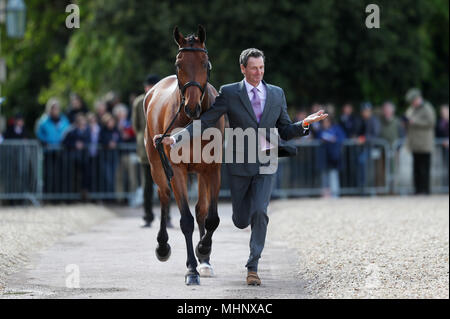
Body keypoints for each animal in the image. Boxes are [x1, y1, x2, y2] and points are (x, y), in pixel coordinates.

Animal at [143, 25, 224, 284]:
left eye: (205, 63)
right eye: (178, 64)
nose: (191, 106)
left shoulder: (212, 168)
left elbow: (210, 217)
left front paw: (204, 251)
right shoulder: (176, 169)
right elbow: (186, 219)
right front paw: (191, 269)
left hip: (199, 171)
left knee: (201, 209)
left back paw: (205, 260)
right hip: (156, 165)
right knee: (164, 196)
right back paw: (162, 246)